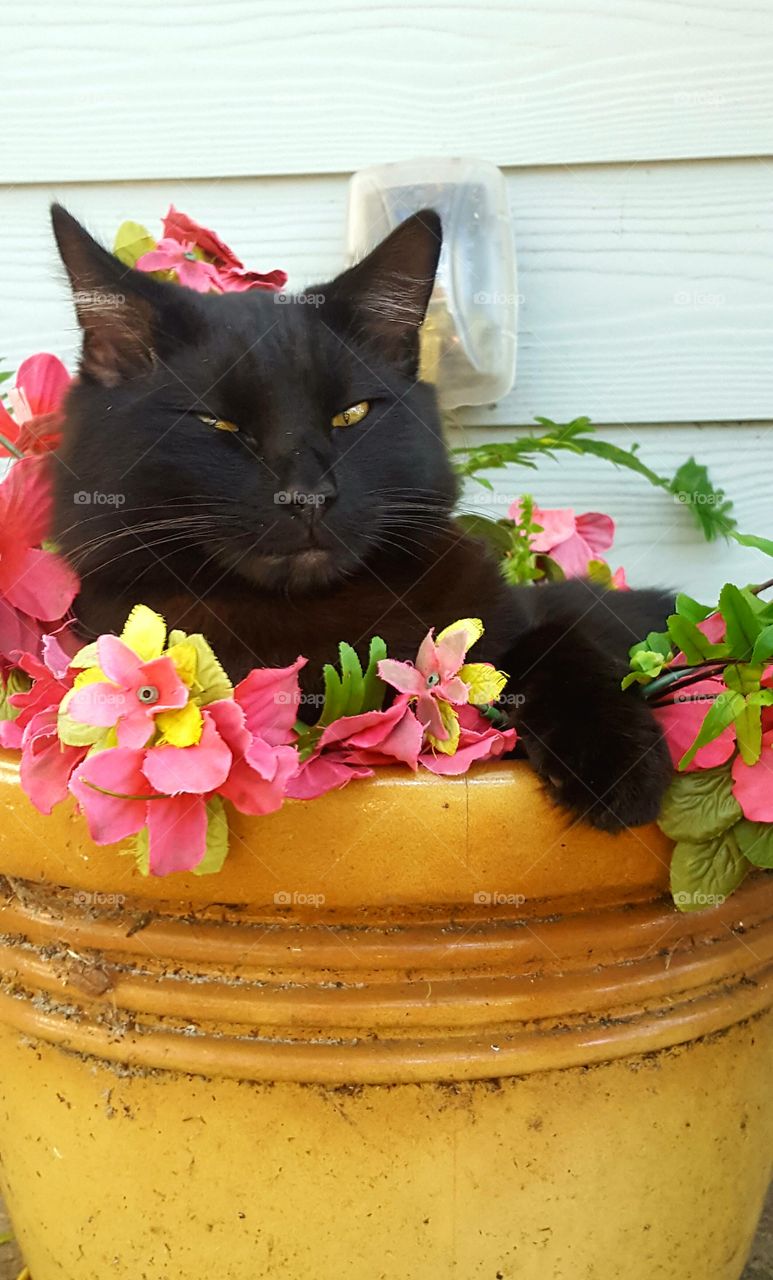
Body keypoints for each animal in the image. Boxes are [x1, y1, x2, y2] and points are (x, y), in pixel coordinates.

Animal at [51, 202, 675, 829]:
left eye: (351, 415)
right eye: (217, 424)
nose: (308, 495)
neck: (315, 616)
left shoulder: (524, 612)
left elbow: (561, 639)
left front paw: (618, 761)